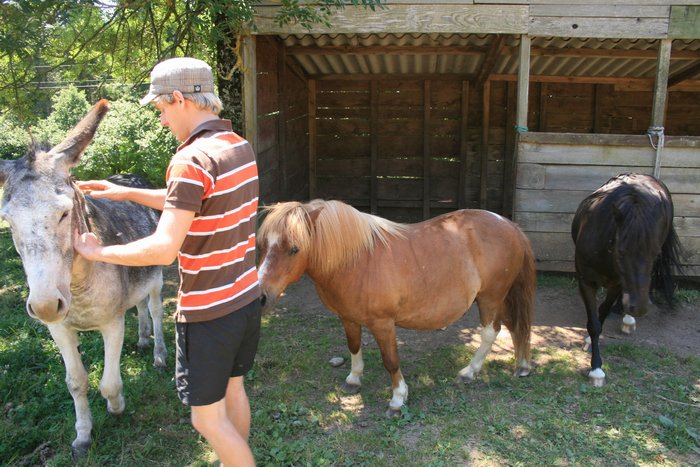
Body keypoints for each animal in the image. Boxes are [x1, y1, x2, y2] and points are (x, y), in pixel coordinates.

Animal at [0, 100, 166, 457]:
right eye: (7, 219)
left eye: (64, 213)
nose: (45, 306)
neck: (76, 284)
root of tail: (132, 175)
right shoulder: (59, 330)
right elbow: (75, 382)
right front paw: (83, 437)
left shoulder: (112, 323)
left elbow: (108, 383)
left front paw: (117, 406)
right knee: (139, 306)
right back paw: (143, 339)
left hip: (158, 276)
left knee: (155, 309)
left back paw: (159, 354)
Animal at [257, 199, 536, 416]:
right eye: (262, 246)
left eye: (294, 248)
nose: (261, 298)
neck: (356, 260)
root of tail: (509, 225)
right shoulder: (348, 318)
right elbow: (354, 346)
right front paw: (354, 379)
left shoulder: (383, 324)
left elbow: (390, 361)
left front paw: (398, 399)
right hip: (497, 299)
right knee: (512, 325)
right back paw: (522, 366)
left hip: (490, 298)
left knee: (490, 332)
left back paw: (469, 372)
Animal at [571, 173, 683, 387]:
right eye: (621, 251)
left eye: (655, 253)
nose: (640, 308)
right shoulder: (585, 282)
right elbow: (594, 324)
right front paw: (596, 368)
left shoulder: (617, 283)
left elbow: (601, 314)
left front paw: (595, 363)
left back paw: (628, 318)